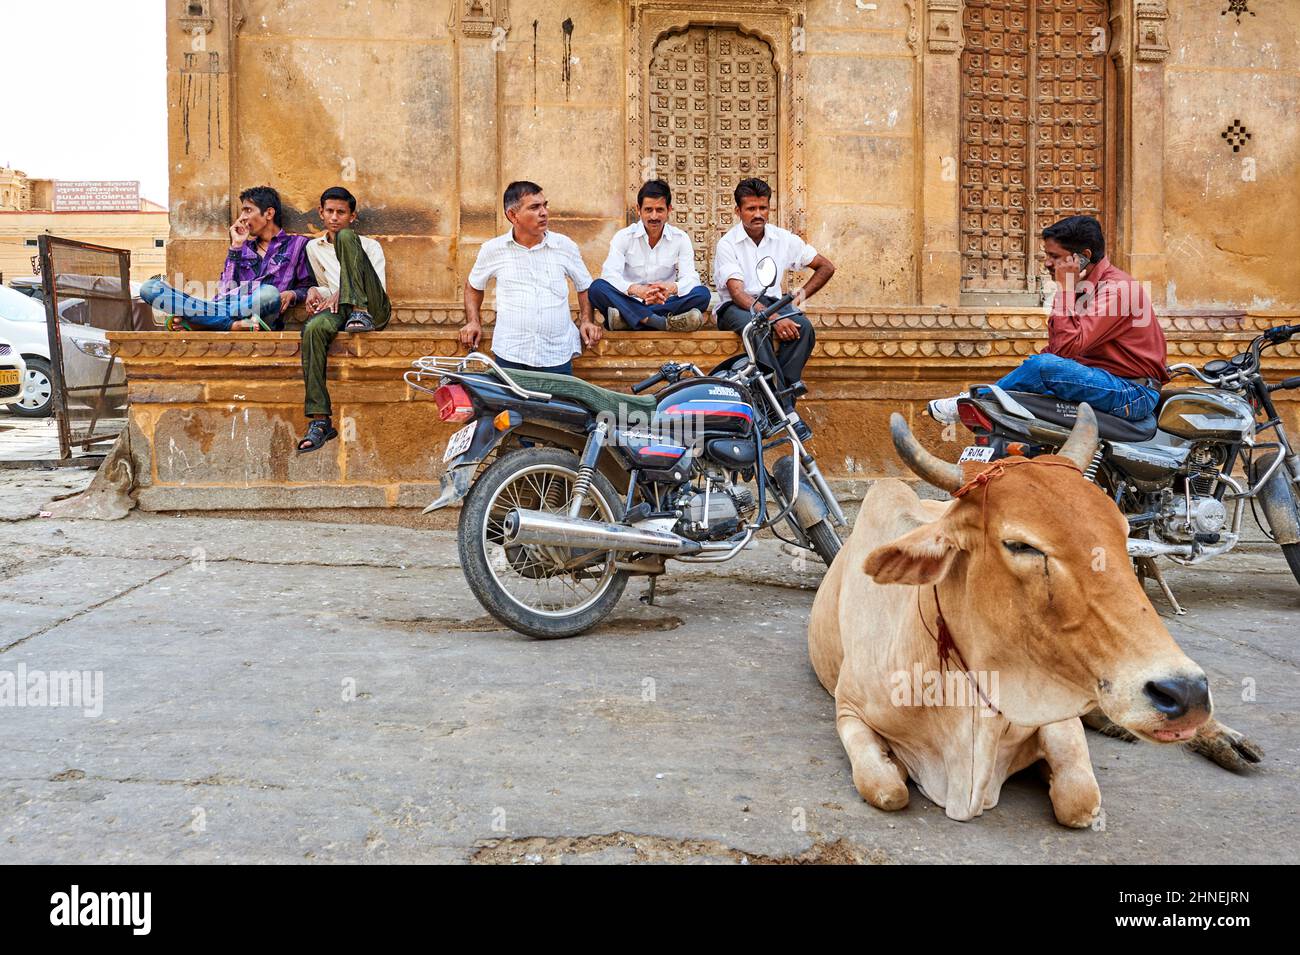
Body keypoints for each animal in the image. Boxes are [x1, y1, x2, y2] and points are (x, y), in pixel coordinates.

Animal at [808, 406, 1252, 826]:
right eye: (1021, 545)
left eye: (1124, 532)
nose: (1186, 692)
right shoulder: (849, 711)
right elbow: (887, 790)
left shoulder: (1057, 718)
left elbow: (1080, 801)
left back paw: (1229, 742)